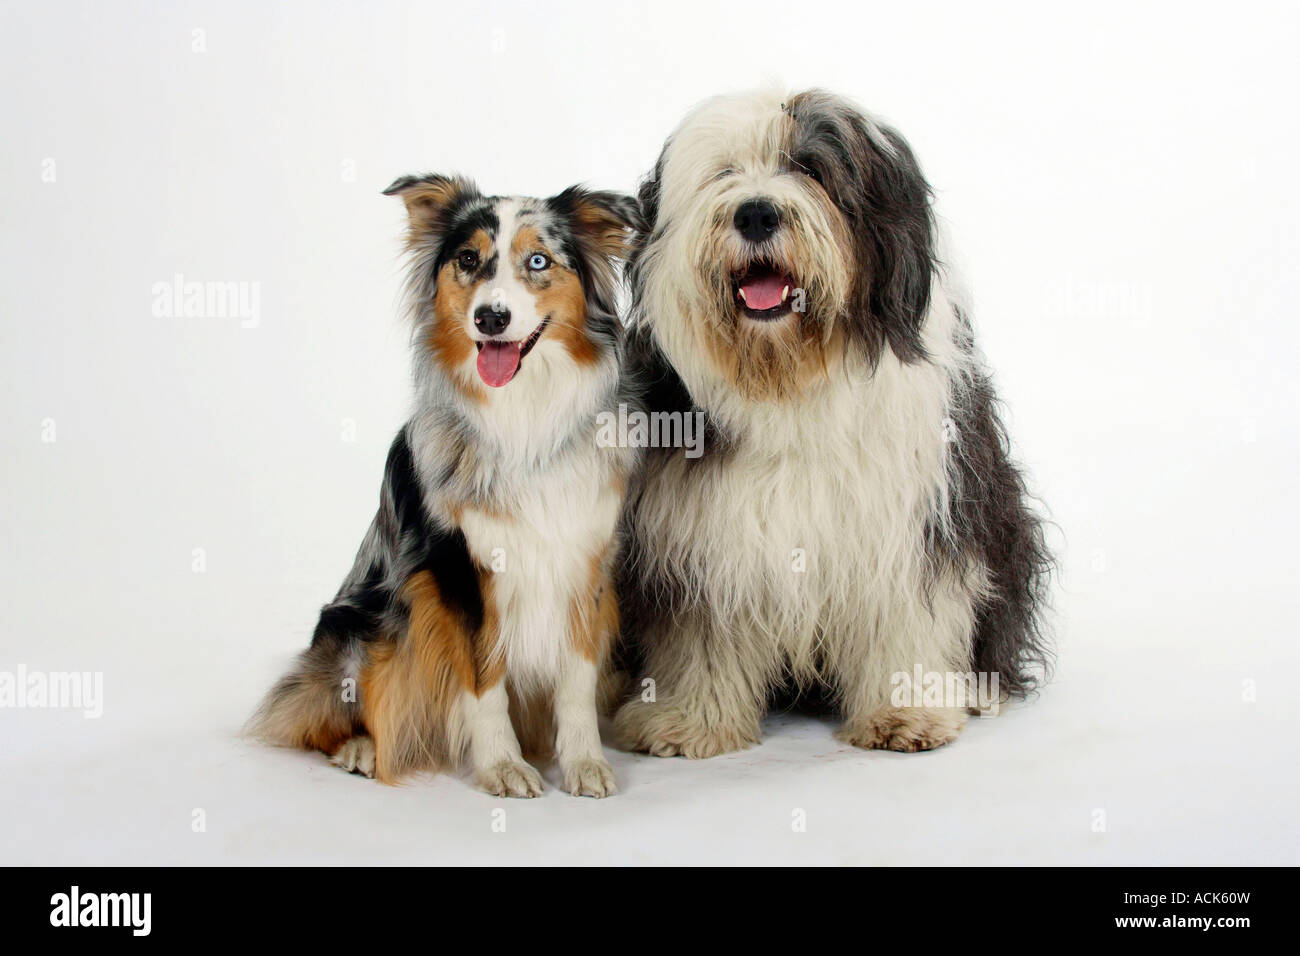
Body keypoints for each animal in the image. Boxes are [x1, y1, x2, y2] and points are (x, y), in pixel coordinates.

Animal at [250, 175, 637, 796]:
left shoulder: (586, 559)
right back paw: (360, 748)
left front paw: (584, 763)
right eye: (468, 260)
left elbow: (576, 679)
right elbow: (483, 679)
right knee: (315, 712)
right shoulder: (457, 569)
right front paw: (502, 765)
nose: (490, 318)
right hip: (365, 630)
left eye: (538, 260)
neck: (523, 418)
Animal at [613, 91, 1050, 764]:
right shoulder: (697, 531)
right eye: (724, 173)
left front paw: (907, 711)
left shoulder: (913, 521)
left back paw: (980, 690)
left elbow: (907, 612)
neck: (788, 381)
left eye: (813, 170)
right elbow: (700, 633)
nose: (757, 213)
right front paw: (692, 720)